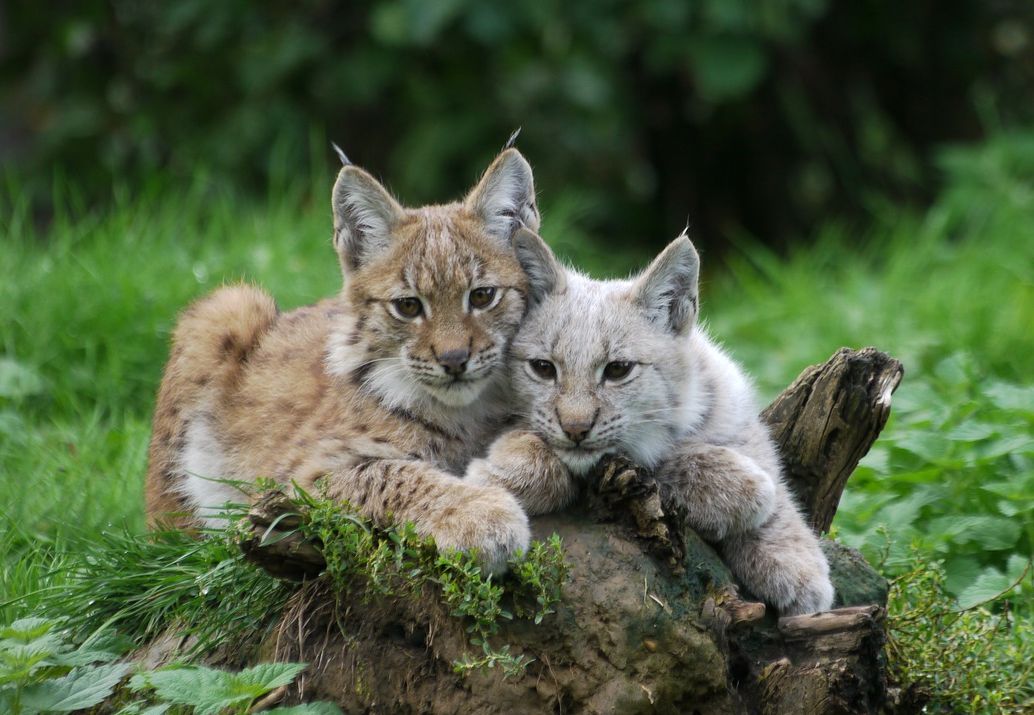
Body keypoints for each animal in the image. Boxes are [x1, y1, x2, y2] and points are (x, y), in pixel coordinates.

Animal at [465, 229, 835, 616]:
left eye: (618, 370)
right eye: (543, 368)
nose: (576, 428)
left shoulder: (730, 398)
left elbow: (767, 469)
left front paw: (794, 561)